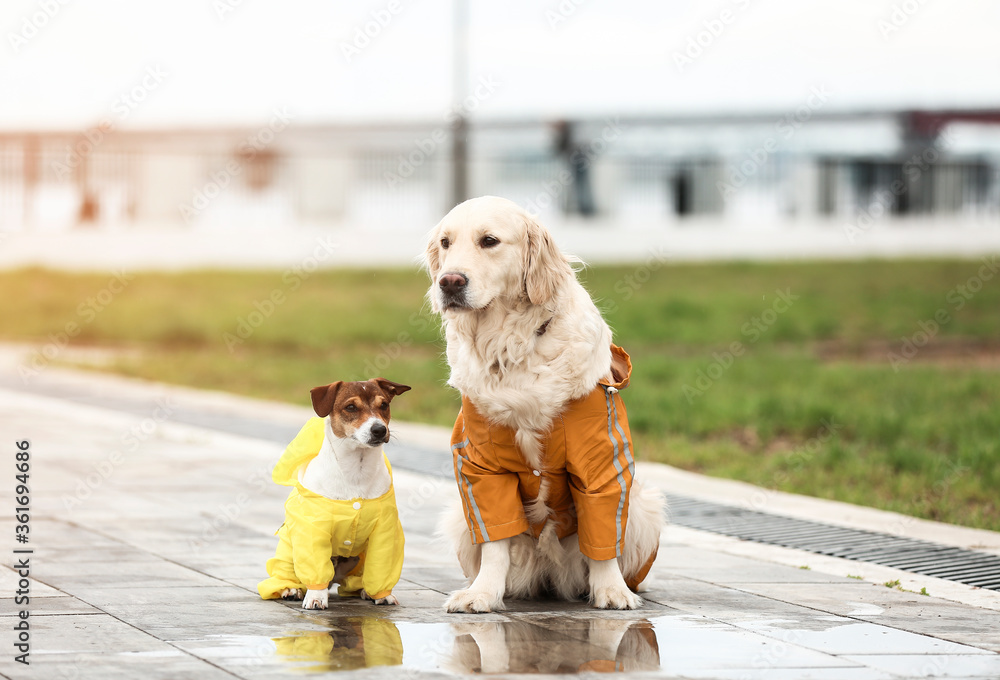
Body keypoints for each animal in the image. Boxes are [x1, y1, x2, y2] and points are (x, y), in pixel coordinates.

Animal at [422, 195, 664, 612]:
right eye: (445, 243)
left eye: (489, 241)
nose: (449, 282)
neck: (513, 347)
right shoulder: (479, 466)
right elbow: (495, 540)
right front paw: (482, 593)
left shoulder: (601, 464)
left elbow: (603, 537)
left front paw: (612, 591)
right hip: (458, 518)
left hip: (645, 508)